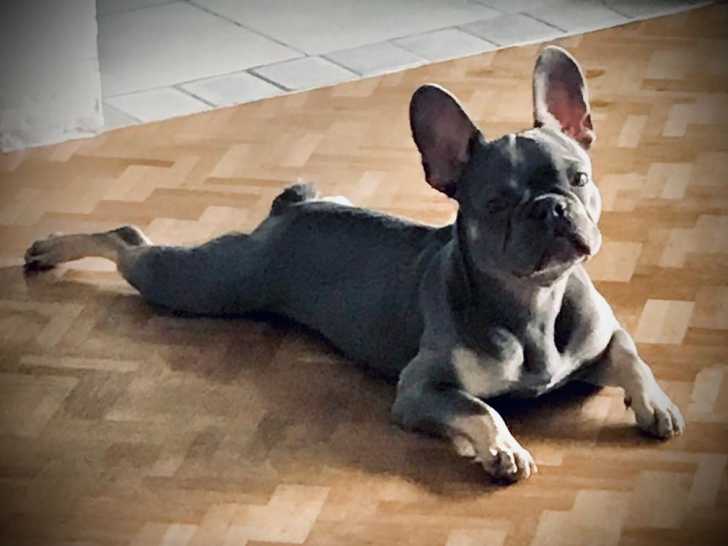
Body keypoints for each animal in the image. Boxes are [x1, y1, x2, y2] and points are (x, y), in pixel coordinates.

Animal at [25, 46, 684, 483]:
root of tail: (289, 210)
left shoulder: (600, 339)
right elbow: (480, 406)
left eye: (579, 178)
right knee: (126, 240)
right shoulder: (421, 389)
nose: (552, 207)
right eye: (497, 203)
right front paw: (503, 448)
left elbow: (631, 354)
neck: (535, 303)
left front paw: (656, 403)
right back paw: (49, 249)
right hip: (203, 283)